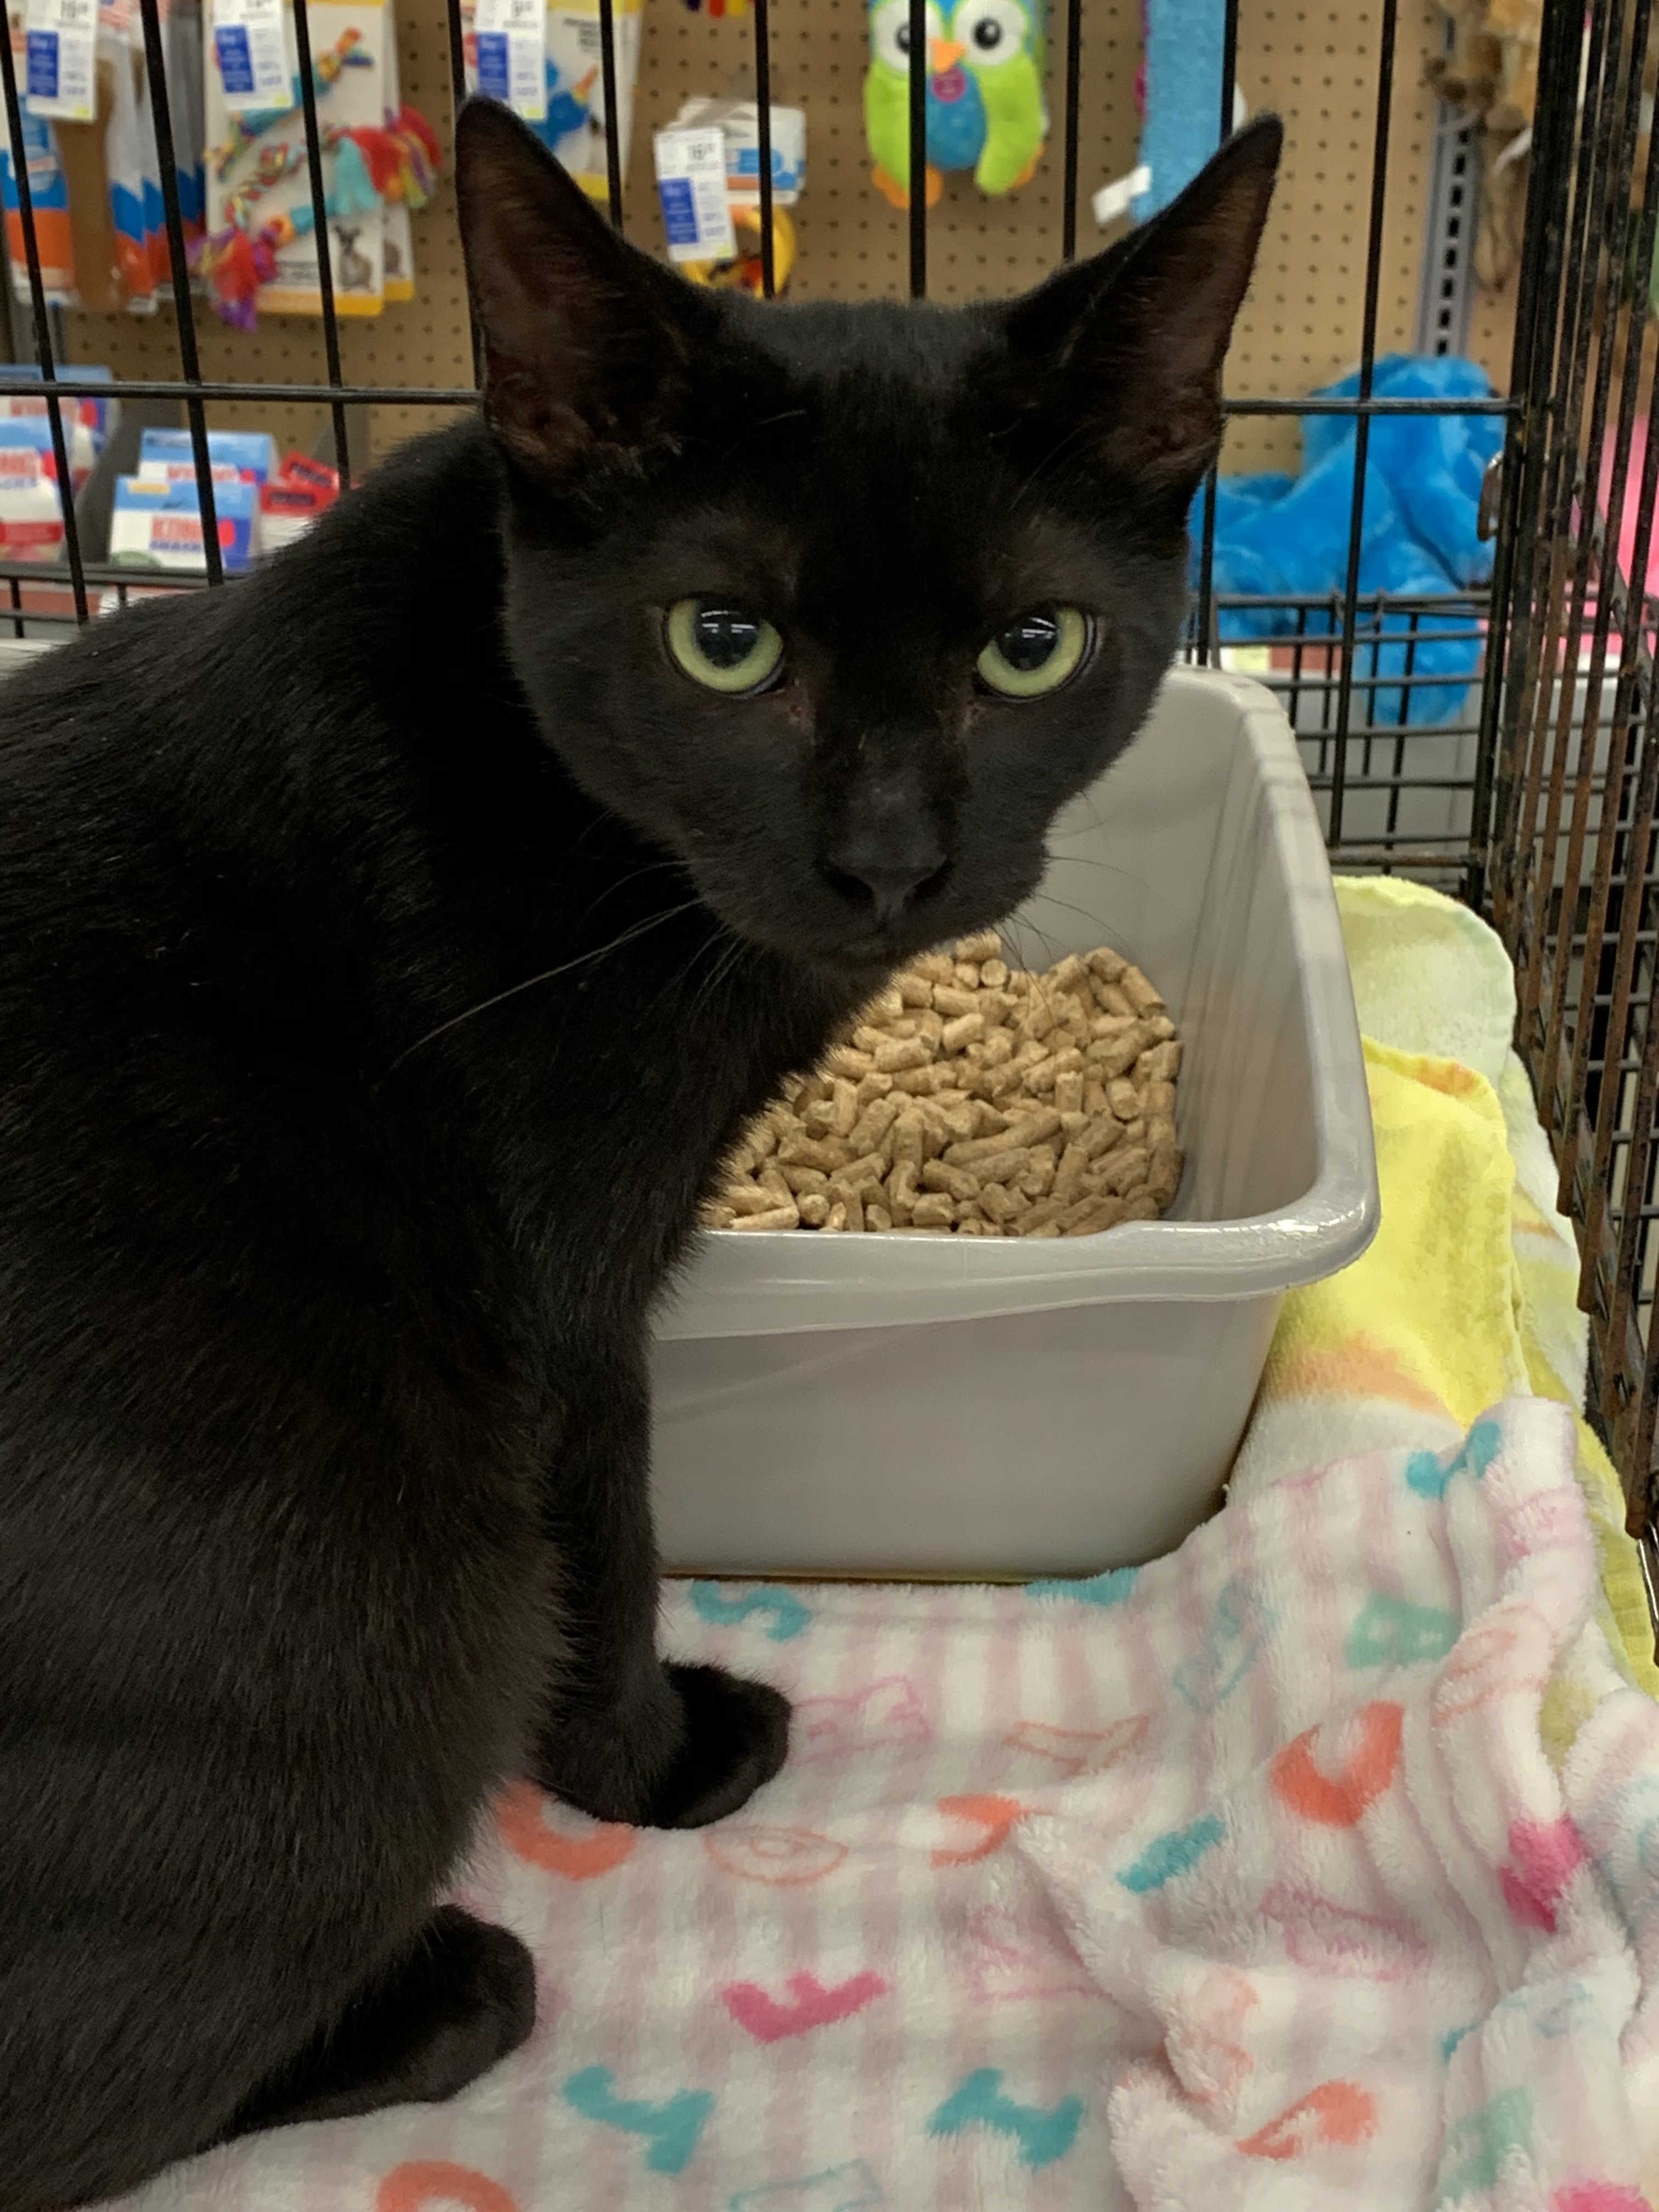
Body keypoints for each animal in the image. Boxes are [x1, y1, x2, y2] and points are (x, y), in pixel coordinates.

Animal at [0, 99, 1283, 2212]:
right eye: (722, 639)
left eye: (1031, 648)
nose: (886, 860)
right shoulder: (568, 1305)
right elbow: (614, 1541)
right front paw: (652, 1764)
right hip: (397, 1615)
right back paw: (443, 1994)